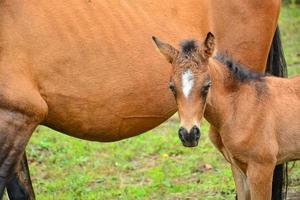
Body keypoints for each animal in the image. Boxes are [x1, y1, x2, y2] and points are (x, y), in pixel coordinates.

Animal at [152, 33, 300, 200]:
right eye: (172, 87)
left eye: (207, 85)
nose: (188, 135)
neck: (238, 107)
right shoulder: (238, 168)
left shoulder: (262, 167)